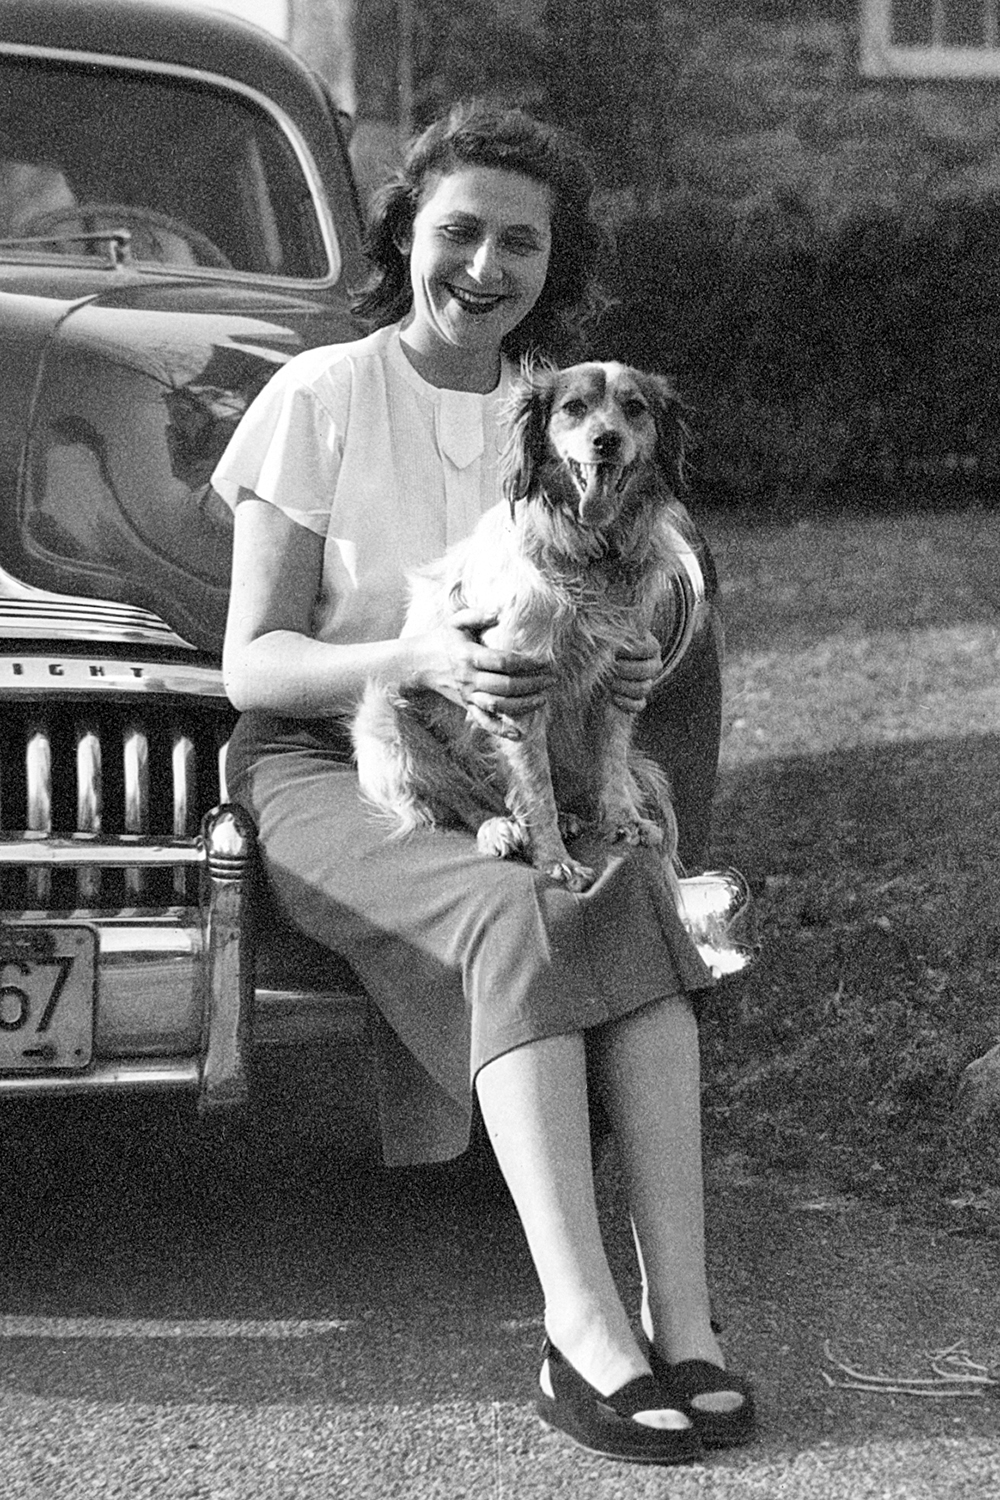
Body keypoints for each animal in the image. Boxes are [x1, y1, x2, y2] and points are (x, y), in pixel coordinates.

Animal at [352, 360, 704, 900]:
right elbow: (535, 789)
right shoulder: (517, 690)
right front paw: (555, 860)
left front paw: (622, 820)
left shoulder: (620, 676)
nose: (606, 440)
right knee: (467, 800)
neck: (592, 556)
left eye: (634, 408)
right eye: (574, 407)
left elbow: (611, 763)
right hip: (384, 712)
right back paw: (500, 827)